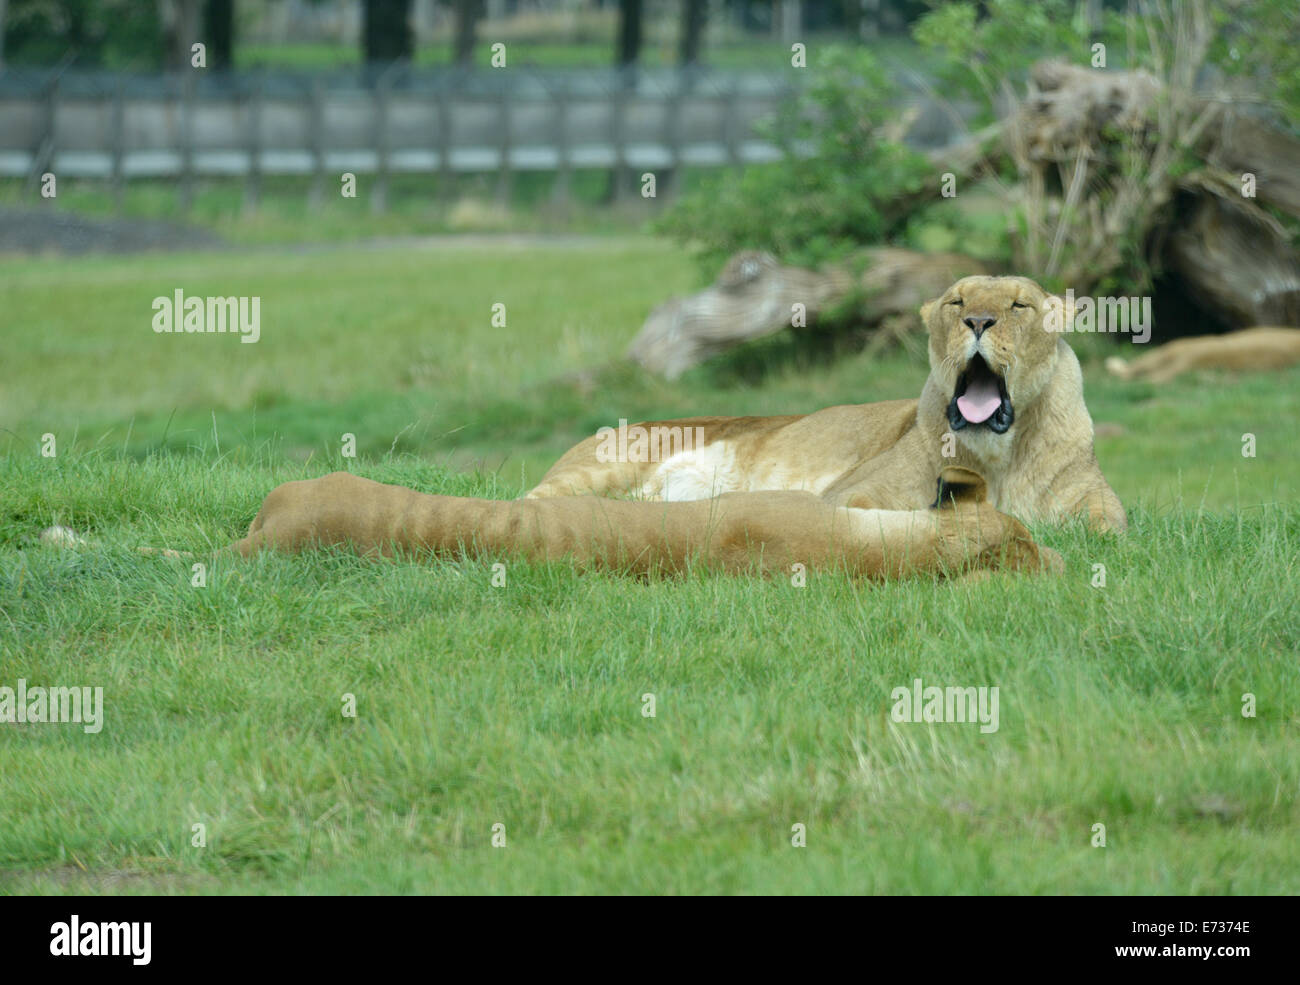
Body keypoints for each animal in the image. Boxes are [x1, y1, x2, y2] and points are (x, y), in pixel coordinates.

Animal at [527, 274, 1128, 535]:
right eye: (957, 301)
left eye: (1019, 305)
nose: (977, 321)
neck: (996, 455)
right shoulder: (851, 495)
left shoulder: (1098, 500)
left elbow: (1110, 527)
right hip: (598, 471)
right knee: (531, 502)